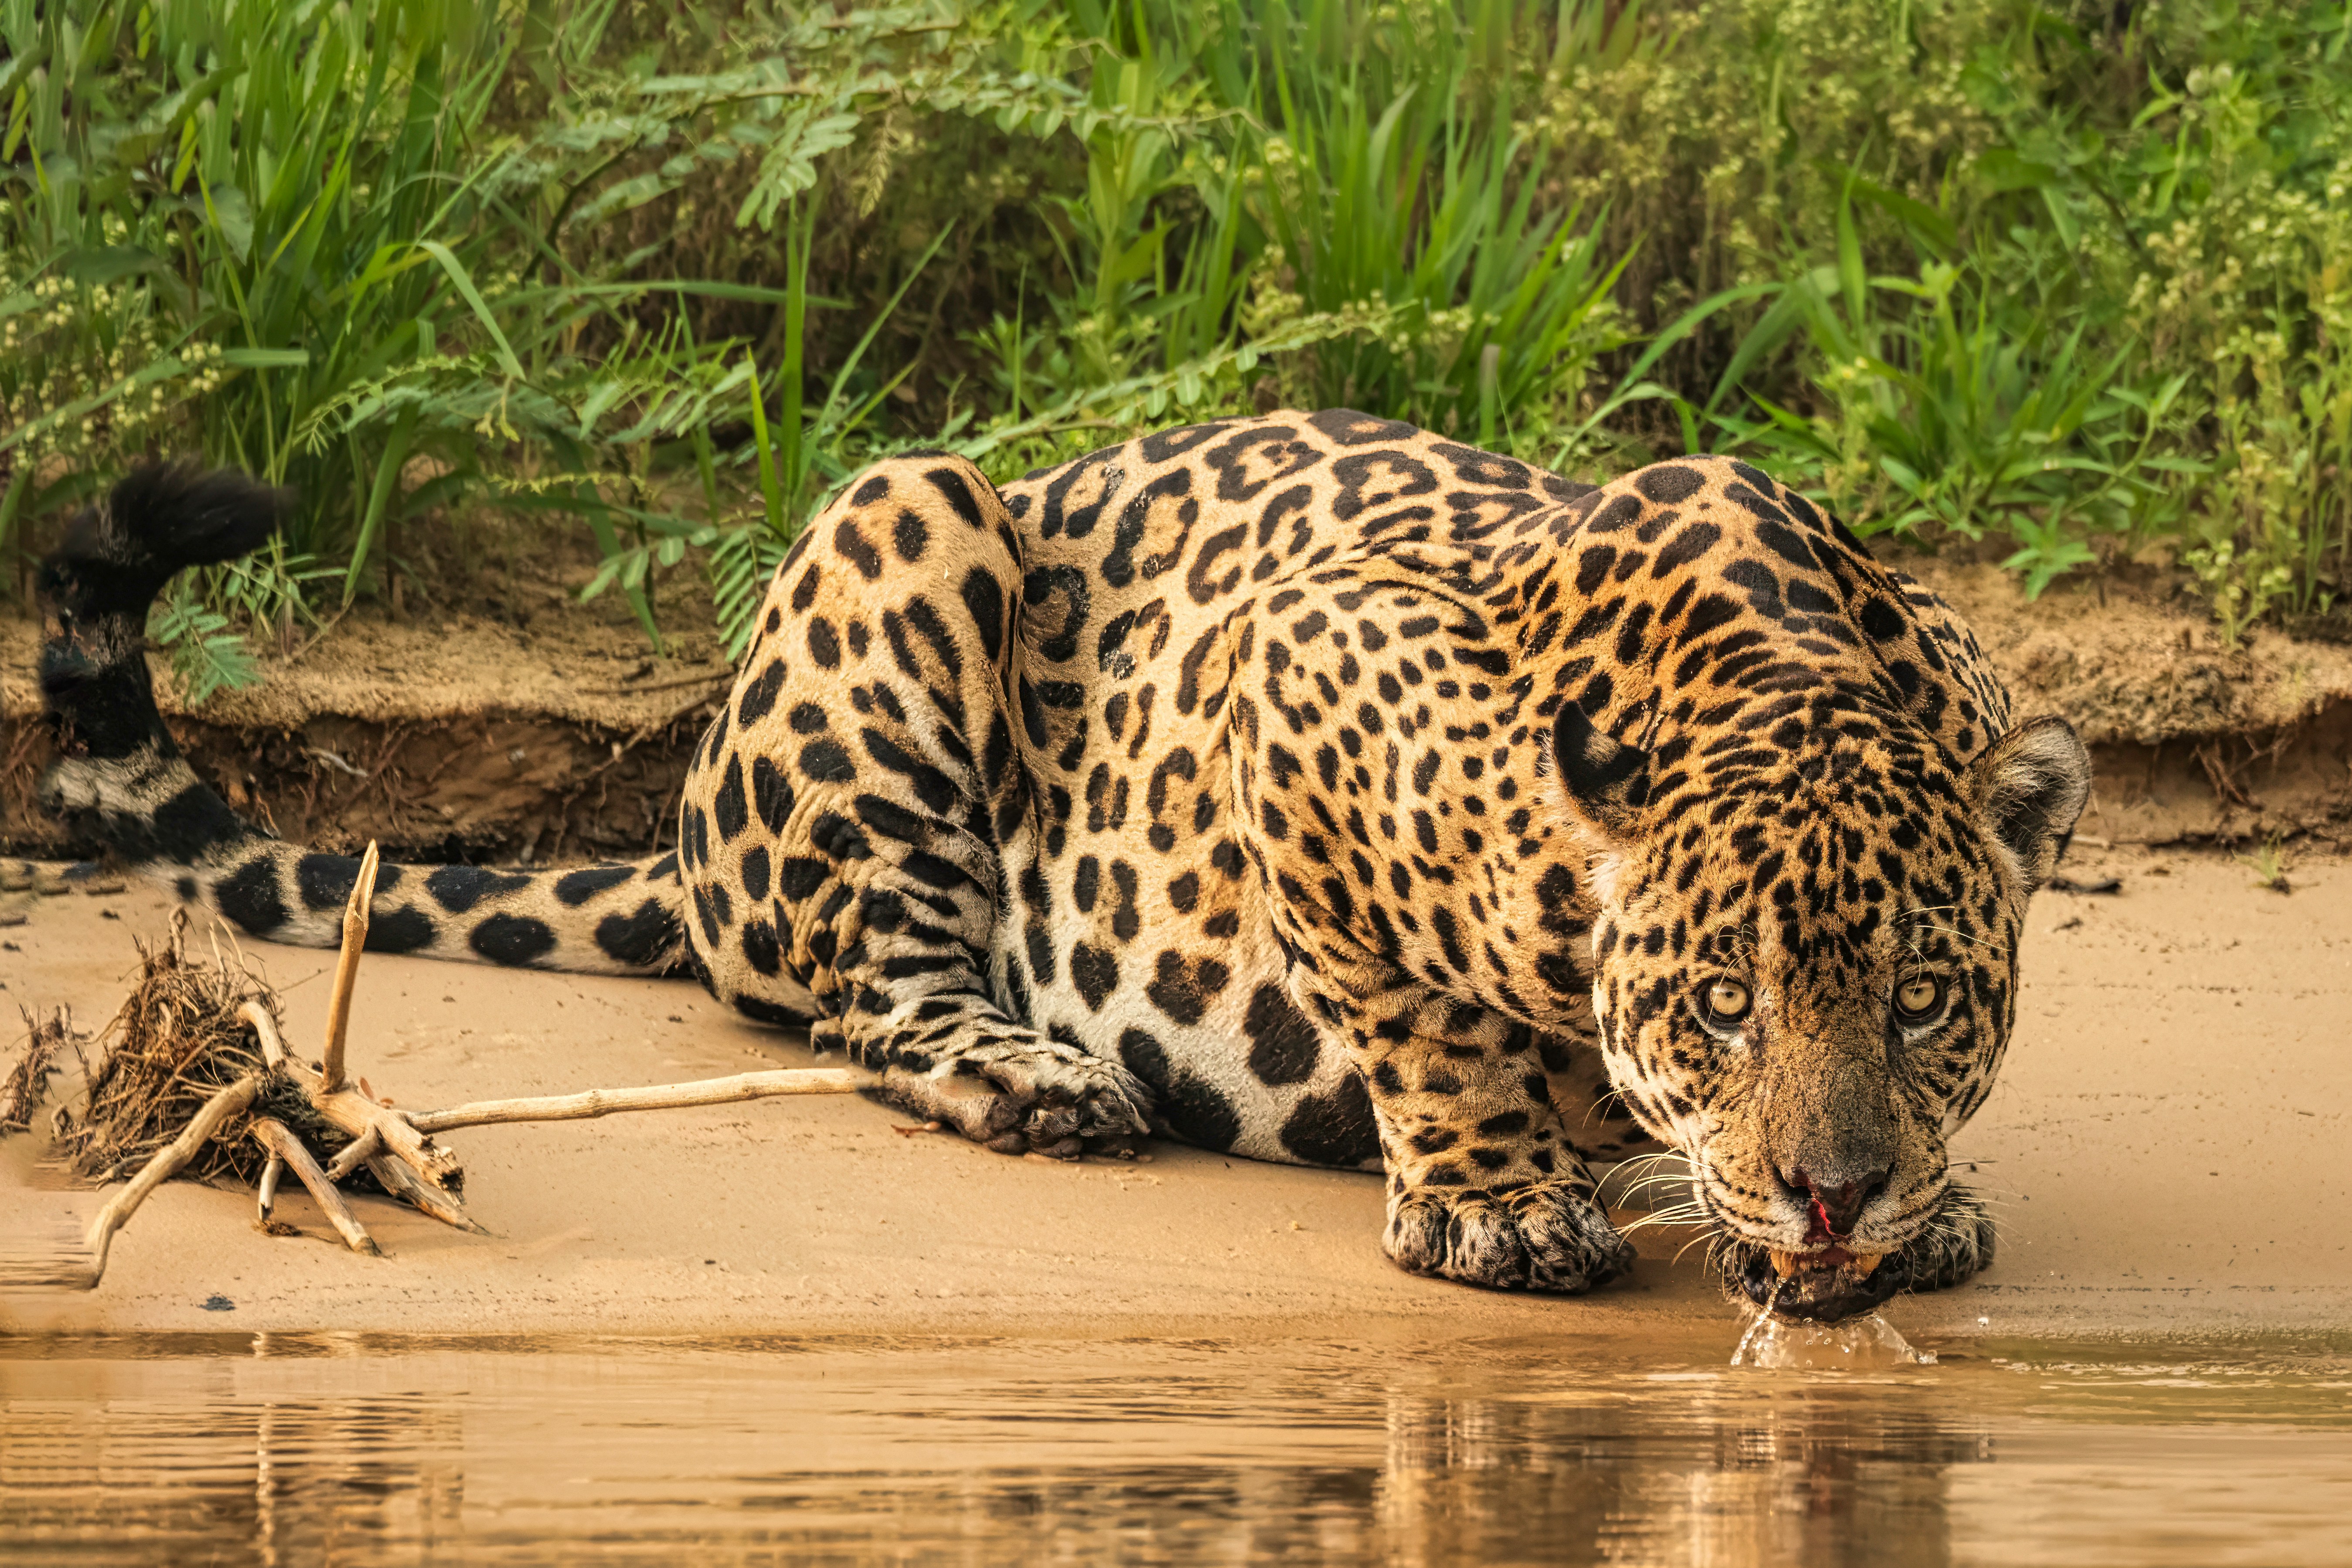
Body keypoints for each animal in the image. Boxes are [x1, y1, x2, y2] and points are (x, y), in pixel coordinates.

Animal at [37, 412, 2090, 1321]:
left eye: (1925, 999)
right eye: (1720, 1003)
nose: (1832, 1194)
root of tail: (687, 817)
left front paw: (1920, 1204)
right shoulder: (1303, 666)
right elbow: (1419, 1018)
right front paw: (1499, 1203)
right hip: (904, 525)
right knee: (871, 995)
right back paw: (1040, 1077)